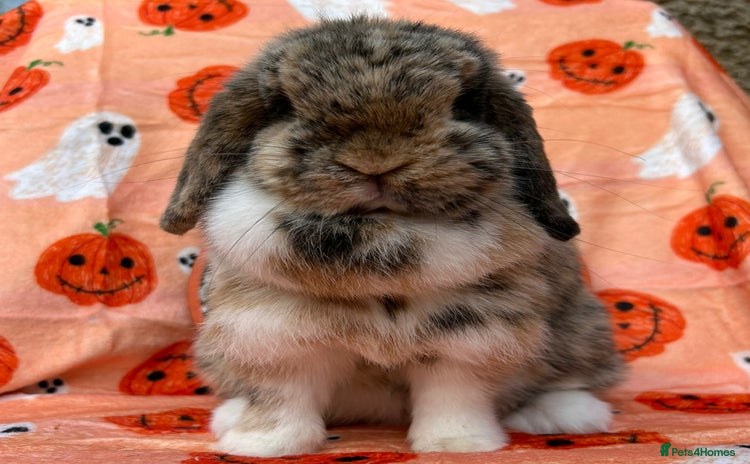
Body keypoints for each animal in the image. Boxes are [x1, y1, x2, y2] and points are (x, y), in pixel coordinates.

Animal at [160, 16, 624, 457]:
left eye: (463, 104)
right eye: (283, 107)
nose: (376, 160)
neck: (379, 239)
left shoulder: (467, 338)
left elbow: (454, 399)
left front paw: (458, 444)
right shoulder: (271, 334)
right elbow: (280, 401)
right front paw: (261, 446)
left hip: (581, 331)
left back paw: (570, 415)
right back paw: (229, 417)